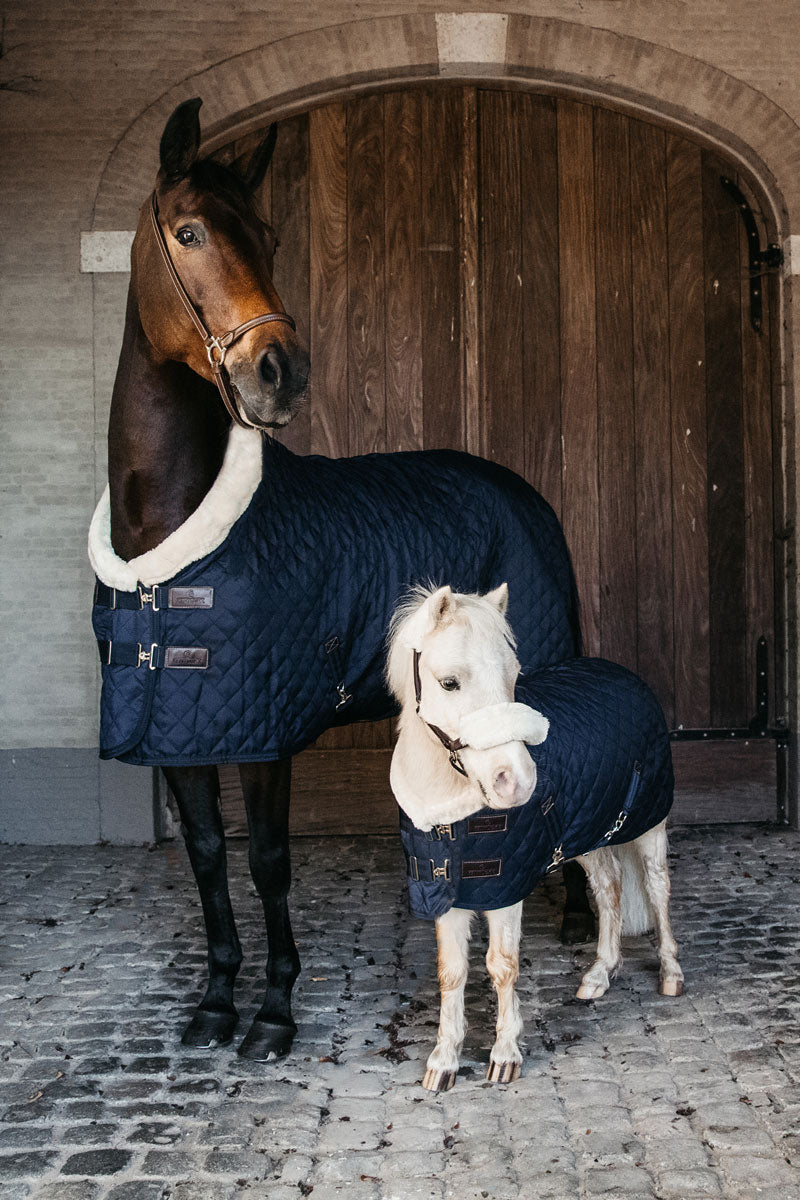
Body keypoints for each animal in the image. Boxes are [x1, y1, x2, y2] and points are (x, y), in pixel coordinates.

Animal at [91, 97, 588, 1061]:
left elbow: (267, 859)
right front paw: (216, 1001)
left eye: (270, 235)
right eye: (189, 231)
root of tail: (518, 488)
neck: (165, 551)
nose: (281, 371)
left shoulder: (265, 732)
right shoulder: (180, 731)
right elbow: (208, 854)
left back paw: (583, 916)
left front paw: (275, 1012)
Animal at [386, 584, 683, 1092]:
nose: (517, 782)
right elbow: (452, 972)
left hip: (648, 824)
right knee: (609, 887)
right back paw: (600, 974)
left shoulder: (505, 887)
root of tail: (622, 674)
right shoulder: (444, 890)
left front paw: (505, 1055)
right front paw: (443, 1061)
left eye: (513, 677)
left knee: (657, 889)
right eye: (450, 683)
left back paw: (670, 973)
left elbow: (501, 965)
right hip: (591, 834)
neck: (448, 809)